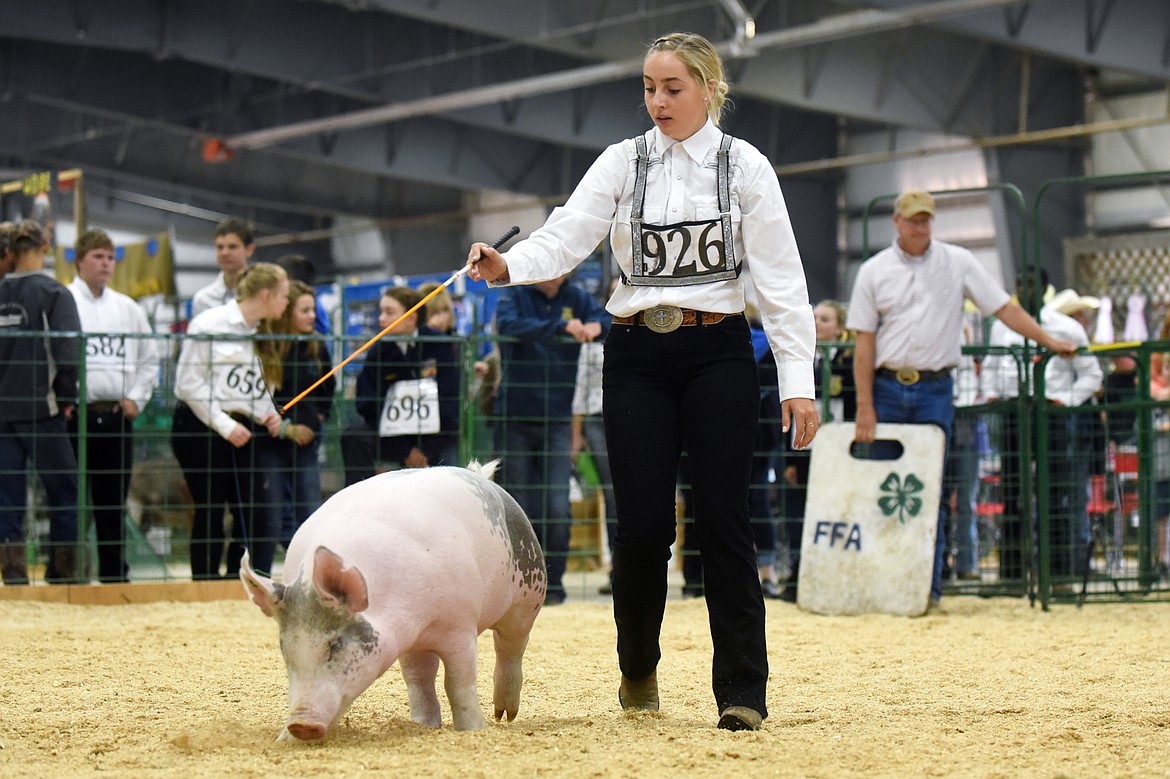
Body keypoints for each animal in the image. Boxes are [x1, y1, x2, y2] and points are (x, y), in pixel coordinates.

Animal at [241, 458, 547, 739]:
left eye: (335, 645)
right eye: (284, 648)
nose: (301, 724)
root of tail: (481, 477)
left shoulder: (460, 626)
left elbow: (458, 683)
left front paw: (474, 729)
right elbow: (419, 679)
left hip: (529, 592)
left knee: (511, 646)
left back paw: (504, 716)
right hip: (418, 647)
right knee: (420, 676)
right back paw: (424, 723)